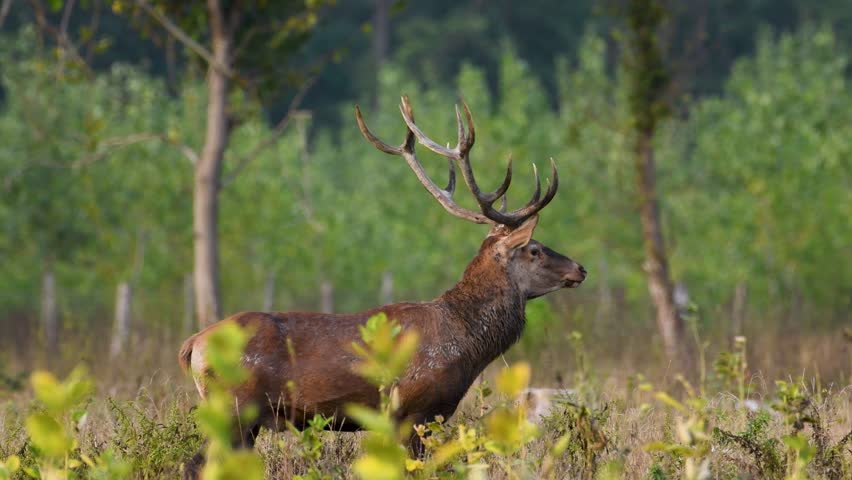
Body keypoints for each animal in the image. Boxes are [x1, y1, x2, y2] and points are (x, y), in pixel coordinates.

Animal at [178, 96, 586, 475]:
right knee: (194, 464)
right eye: (534, 249)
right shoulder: (412, 409)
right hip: (234, 408)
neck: (468, 343)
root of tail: (193, 344)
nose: (579, 268)